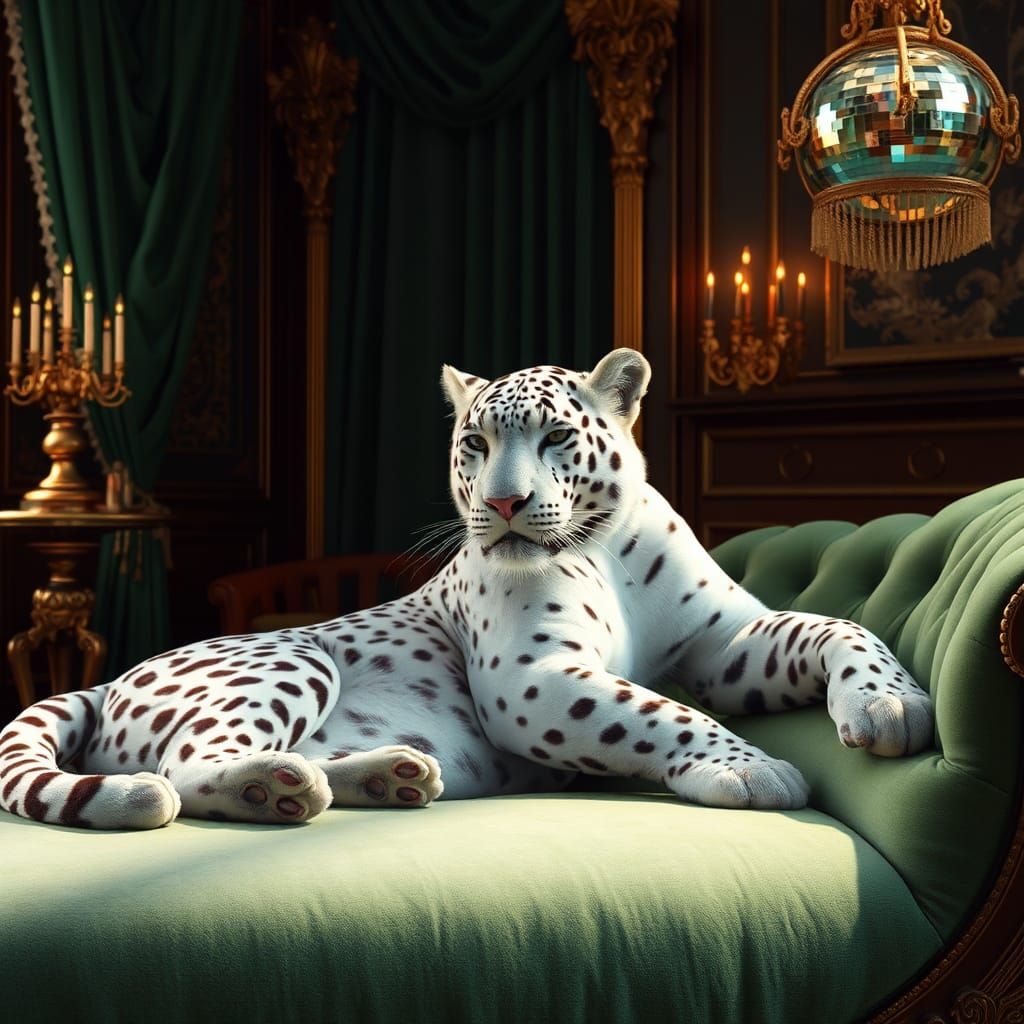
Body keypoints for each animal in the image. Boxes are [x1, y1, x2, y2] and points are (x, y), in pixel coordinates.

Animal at [0, 350, 934, 829]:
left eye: (555, 437)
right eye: (475, 444)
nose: (504, 503)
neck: (605, 548)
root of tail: (108, 680)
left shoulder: (726, 645)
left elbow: (839, 627)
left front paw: (893, 707)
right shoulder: (533, 678)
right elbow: (659, 711)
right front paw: (750, 770)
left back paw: (395, 776)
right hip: (291, 661)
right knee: (185, 769)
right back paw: (282, 790)